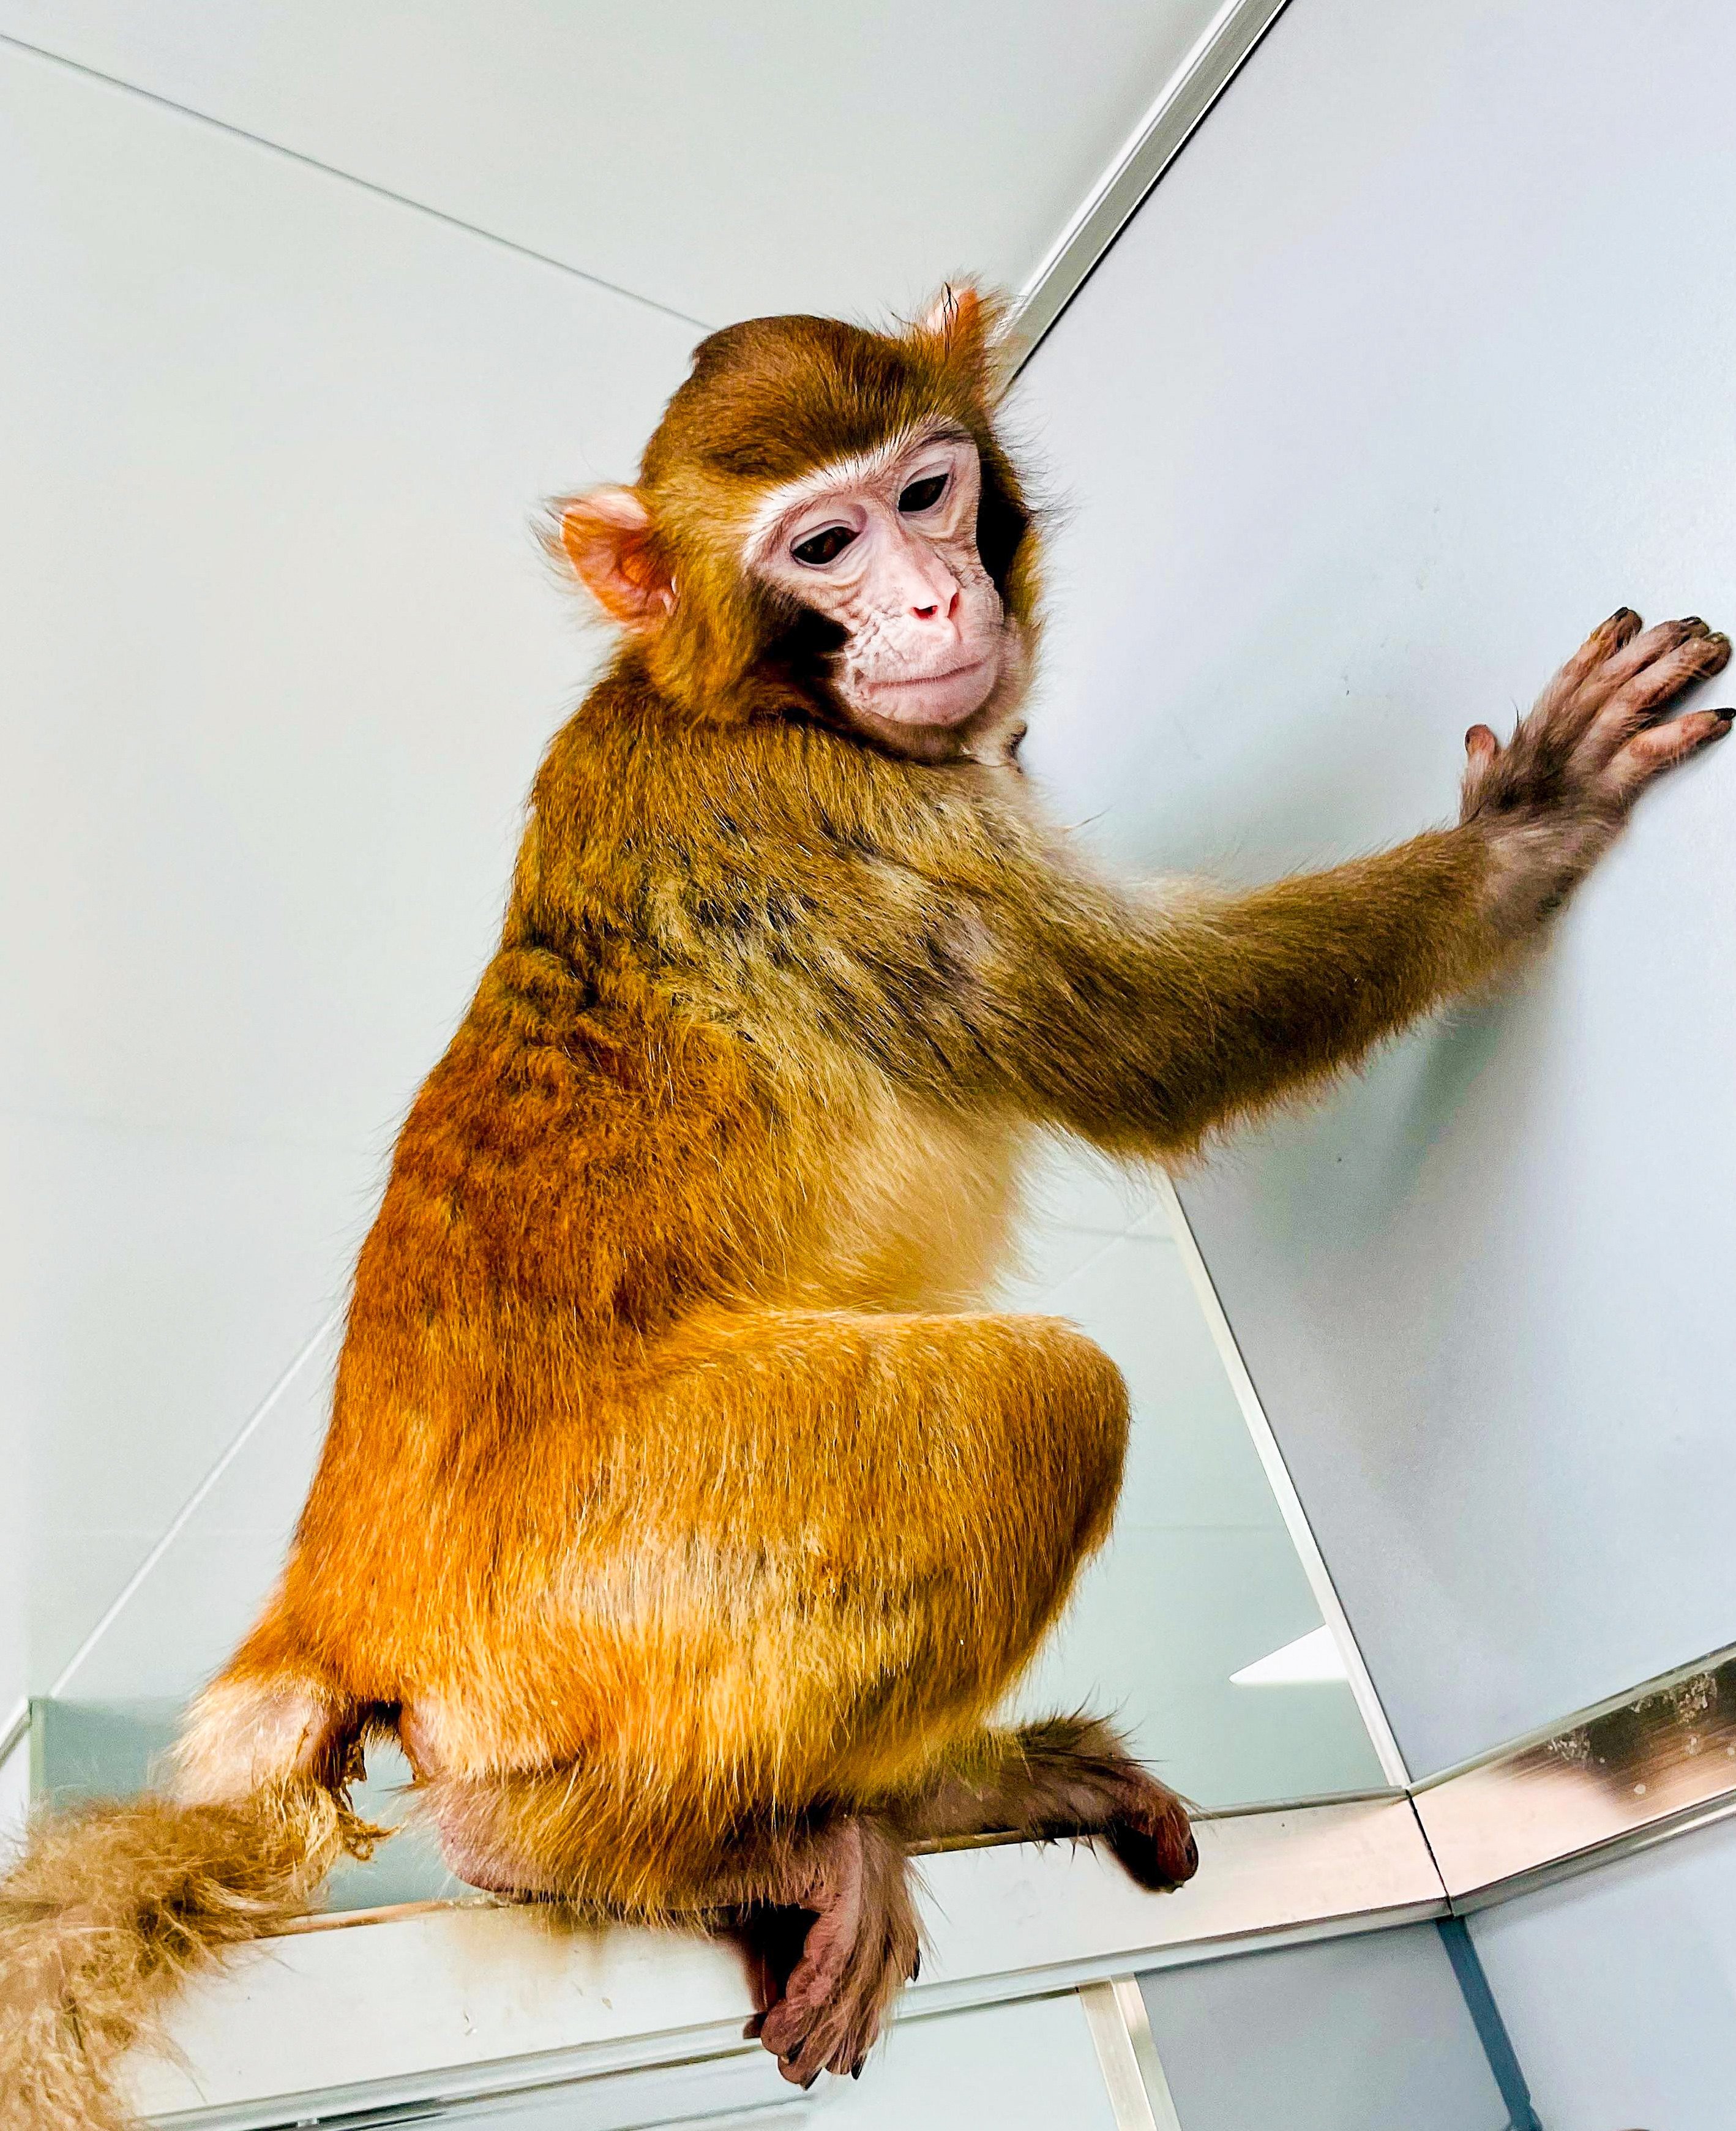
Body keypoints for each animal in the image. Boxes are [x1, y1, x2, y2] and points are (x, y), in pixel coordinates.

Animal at [2, 282, 1729, 2126]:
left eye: (925, 491)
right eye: (823, 544)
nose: (930, 596)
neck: (748, 704)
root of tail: (336, 1602)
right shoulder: (832, 817)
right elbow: (1155, 1044)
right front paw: (1520, 834)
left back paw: (929, 1795)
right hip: (600, 1578)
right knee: (1043, 1402)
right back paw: (596, 1847)